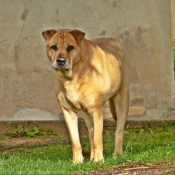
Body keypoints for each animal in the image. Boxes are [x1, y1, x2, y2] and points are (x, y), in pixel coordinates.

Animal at [41, 28, 129, 164]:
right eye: (54, 47)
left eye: (70, 47)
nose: (61, 61)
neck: (73, 76)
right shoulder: (68, 111)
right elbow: (76, 140)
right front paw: (78, 161)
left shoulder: (97, 109)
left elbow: (98, 138)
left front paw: (98, 160)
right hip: (87, 114)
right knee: (91, 133)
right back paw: (91, 157)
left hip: (122, 99)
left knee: (118, 129)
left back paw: (117, 154)